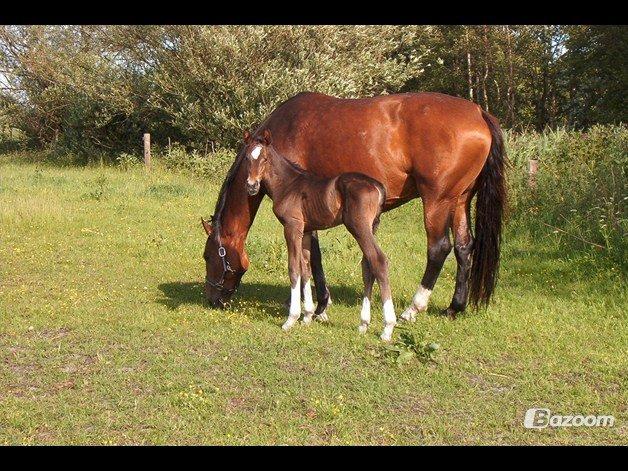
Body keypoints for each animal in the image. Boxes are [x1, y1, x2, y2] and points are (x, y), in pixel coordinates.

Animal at [243, 129, 394, 342]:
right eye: (248, 158)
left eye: (264, 158)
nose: (251, 186)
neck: (288, 185)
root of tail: (378, 187)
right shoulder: (306, 231)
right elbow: (305, 267)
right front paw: (307, 316)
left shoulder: (292, 227)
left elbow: (293, 268)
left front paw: (291, 319)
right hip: (371, 228)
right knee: (367, 267)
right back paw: (363, 324)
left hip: (359, 227)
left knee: (379, 261)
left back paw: (388, 327)